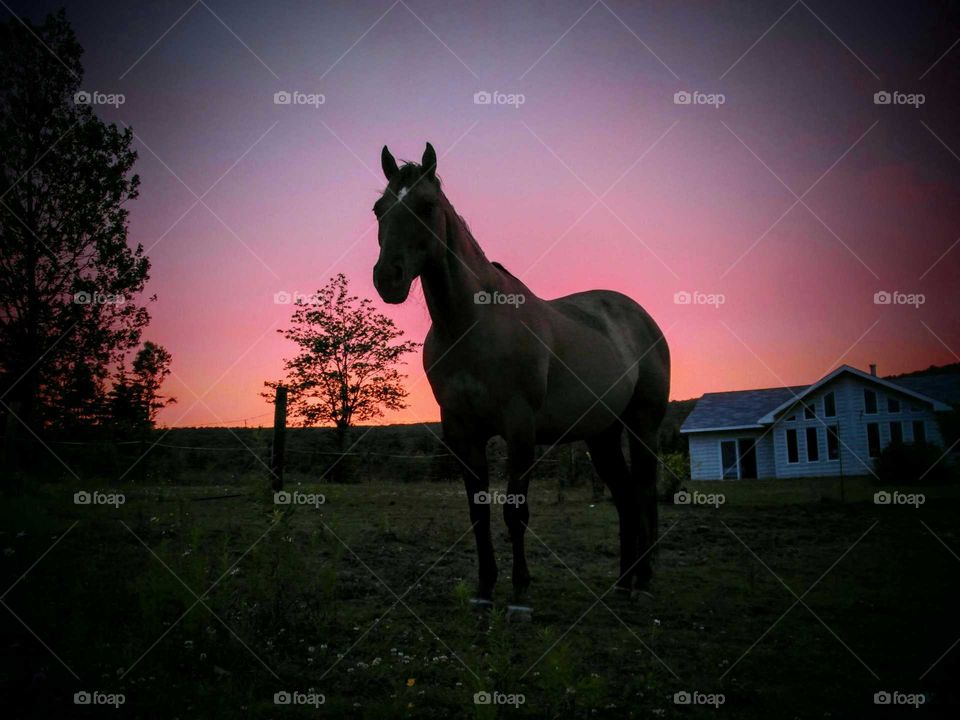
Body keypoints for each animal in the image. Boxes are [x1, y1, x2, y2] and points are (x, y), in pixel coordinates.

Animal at [372, 143, 672, 604]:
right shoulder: (461, 429)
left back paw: (643, 579)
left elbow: (516, 512)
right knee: (624, 497)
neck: (470, 325)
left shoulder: (520, 428)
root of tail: (642, 318)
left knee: (643, 494)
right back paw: (623, 581)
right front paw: (484, 588)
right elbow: (478, 510)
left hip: (643, 426)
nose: (388, 278)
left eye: (426, 206)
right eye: (379, 209)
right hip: (602, 434)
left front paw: (519, 591)